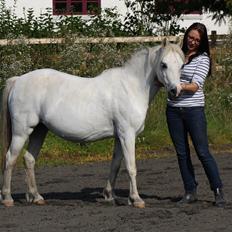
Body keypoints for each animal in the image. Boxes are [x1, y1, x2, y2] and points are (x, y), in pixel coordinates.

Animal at [0, 39, 184, 208]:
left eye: (181, 65)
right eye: (164, 64)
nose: (176, 90)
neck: (131, 87)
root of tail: (18, 80)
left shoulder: (119, 137)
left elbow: (116, 164)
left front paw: (109, 196)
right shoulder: (127, 134)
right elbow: (131, 166)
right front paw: (136, 199)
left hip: (39, 130)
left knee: (29, 159)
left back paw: (36, 196)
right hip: (21, 132)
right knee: (10, 159)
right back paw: (8, 198)